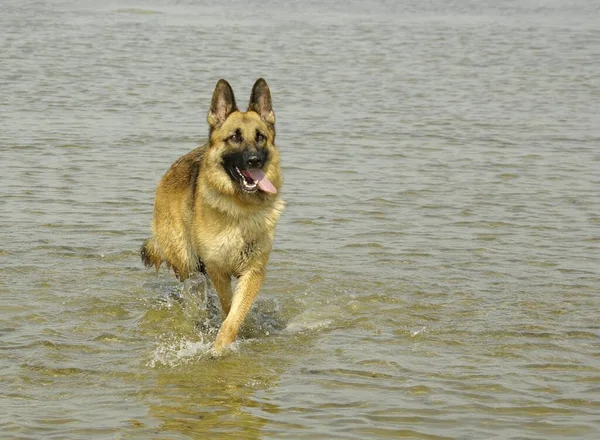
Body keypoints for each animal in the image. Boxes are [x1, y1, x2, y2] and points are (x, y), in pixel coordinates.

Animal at [144, 78, 288, 350]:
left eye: (261, 137)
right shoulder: (217, 269)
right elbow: (228, 306)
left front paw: (223, 344)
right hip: (187, 263)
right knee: (193, 290)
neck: (241, 208)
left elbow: (234, 315)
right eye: (234, 138)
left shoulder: (252, 272)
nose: (254, 160)